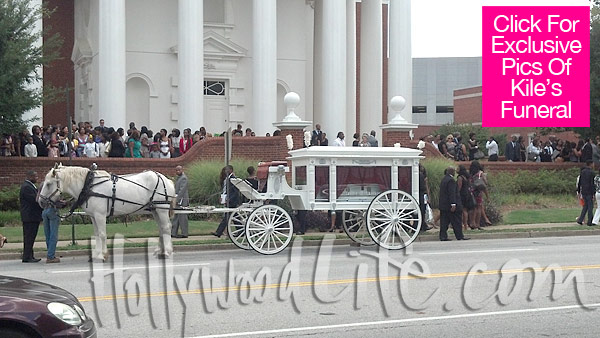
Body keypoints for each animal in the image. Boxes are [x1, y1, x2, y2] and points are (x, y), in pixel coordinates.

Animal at [38, 165, 176, 260]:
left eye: (49, 184)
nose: (40, 202)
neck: (89, 186)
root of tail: (166, 180)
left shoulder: (100, 215)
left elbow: (103, 234)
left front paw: (102, 255)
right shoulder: (93, 216)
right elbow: (97, 234)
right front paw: (97, 254)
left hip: (161, 209)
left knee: (166, 227)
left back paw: (167, 252)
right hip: (155, 209)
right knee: (161, 228)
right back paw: (160, 250)